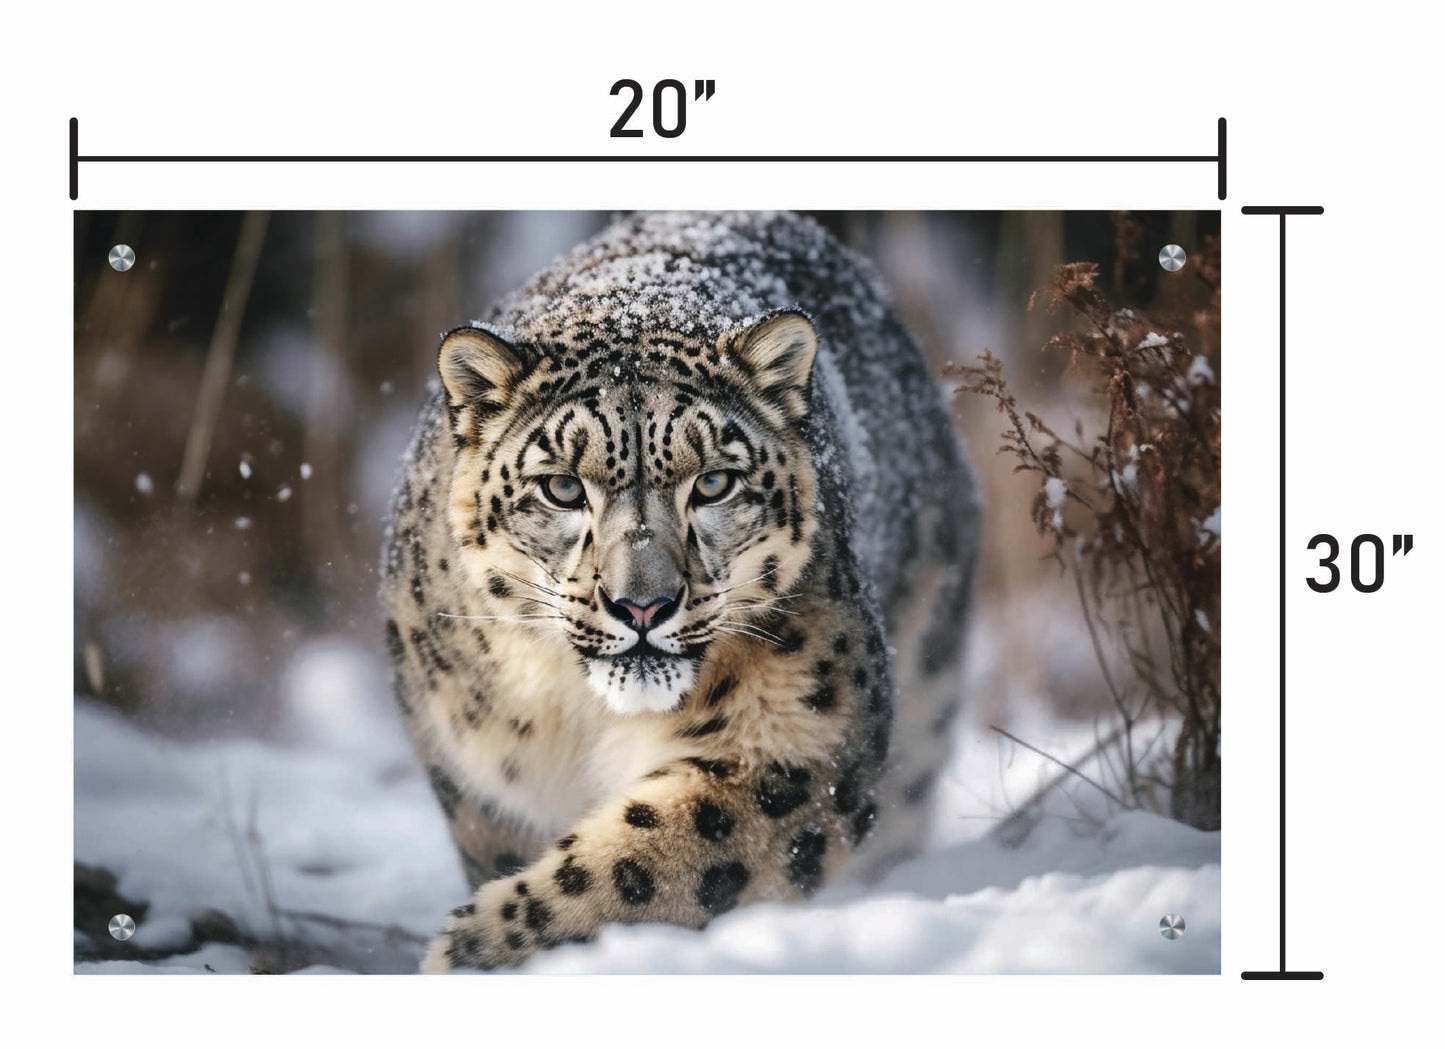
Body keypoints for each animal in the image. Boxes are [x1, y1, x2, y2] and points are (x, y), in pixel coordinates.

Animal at [380, 211, 979, 971]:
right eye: (562, 486)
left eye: (714, 482)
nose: (643, 604)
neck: (582, 719)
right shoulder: (476, 774)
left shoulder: (798, 739)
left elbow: (653, 861)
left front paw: (479, 946)